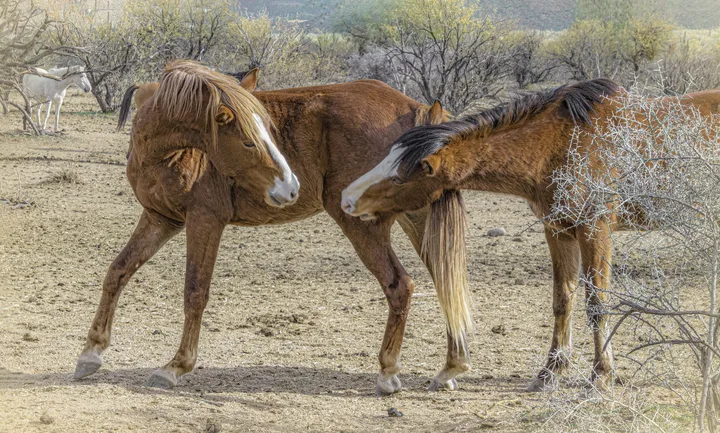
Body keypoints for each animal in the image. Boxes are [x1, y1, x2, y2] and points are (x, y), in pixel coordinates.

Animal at [76, 60, 472, 395]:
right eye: (246, 136)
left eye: (268, 129)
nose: (289, 186)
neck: (165, 152)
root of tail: (417, 110)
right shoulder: (160, 218)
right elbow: (118, 271)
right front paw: (91, 352)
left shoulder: (204, 220)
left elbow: (194, 292)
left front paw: (176, 366)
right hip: (418, 220)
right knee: (446, 280)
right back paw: (450, 368)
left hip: (363, 225)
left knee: (400, 286)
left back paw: (388, 371)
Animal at [340, 79, 720, 391]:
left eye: (399, 177)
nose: (346, 199)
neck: (562, 143)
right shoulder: (558, 231)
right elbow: (562, 300)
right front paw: (550, 372)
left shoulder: (595, 231)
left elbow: (597, 304)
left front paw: (601, 374)